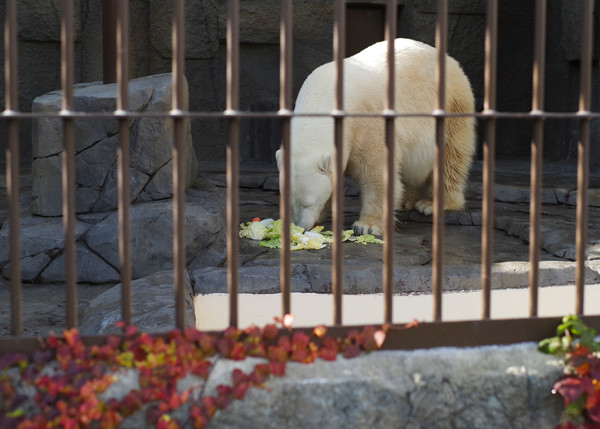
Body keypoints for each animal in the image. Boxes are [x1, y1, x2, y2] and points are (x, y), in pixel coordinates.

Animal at [274, 37, 476, 234]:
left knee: (451, 157)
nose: (300, 226)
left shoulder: (366, 124)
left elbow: (375, 173)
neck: (323, 96)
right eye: (287, 199)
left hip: (451, 107)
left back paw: (431, 204)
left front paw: (367, 226)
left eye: (308, 202)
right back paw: (404, 201)